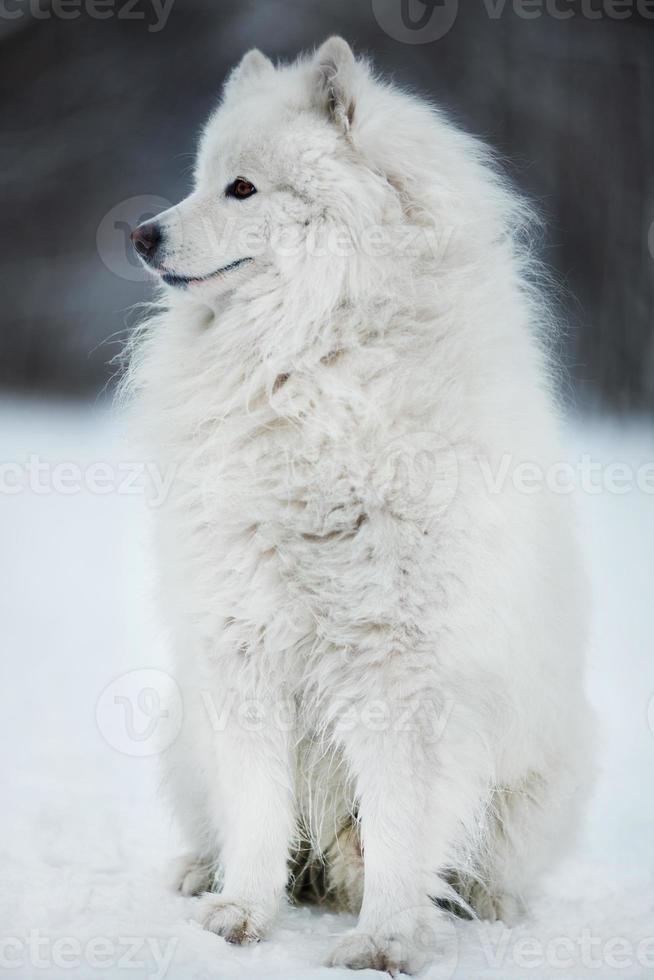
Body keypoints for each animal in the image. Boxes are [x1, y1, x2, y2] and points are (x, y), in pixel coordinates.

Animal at [125, 36, 596, 972]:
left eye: (243, 189)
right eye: (200, 178)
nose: (141, 233)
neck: (308, 361)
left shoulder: (400, 669)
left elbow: (403, 825)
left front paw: (384, 939)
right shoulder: (243, 643)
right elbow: (258, 808)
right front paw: (244, 912)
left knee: (480, 864)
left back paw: (485, 905)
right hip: (188, 738)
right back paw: (202, 872)